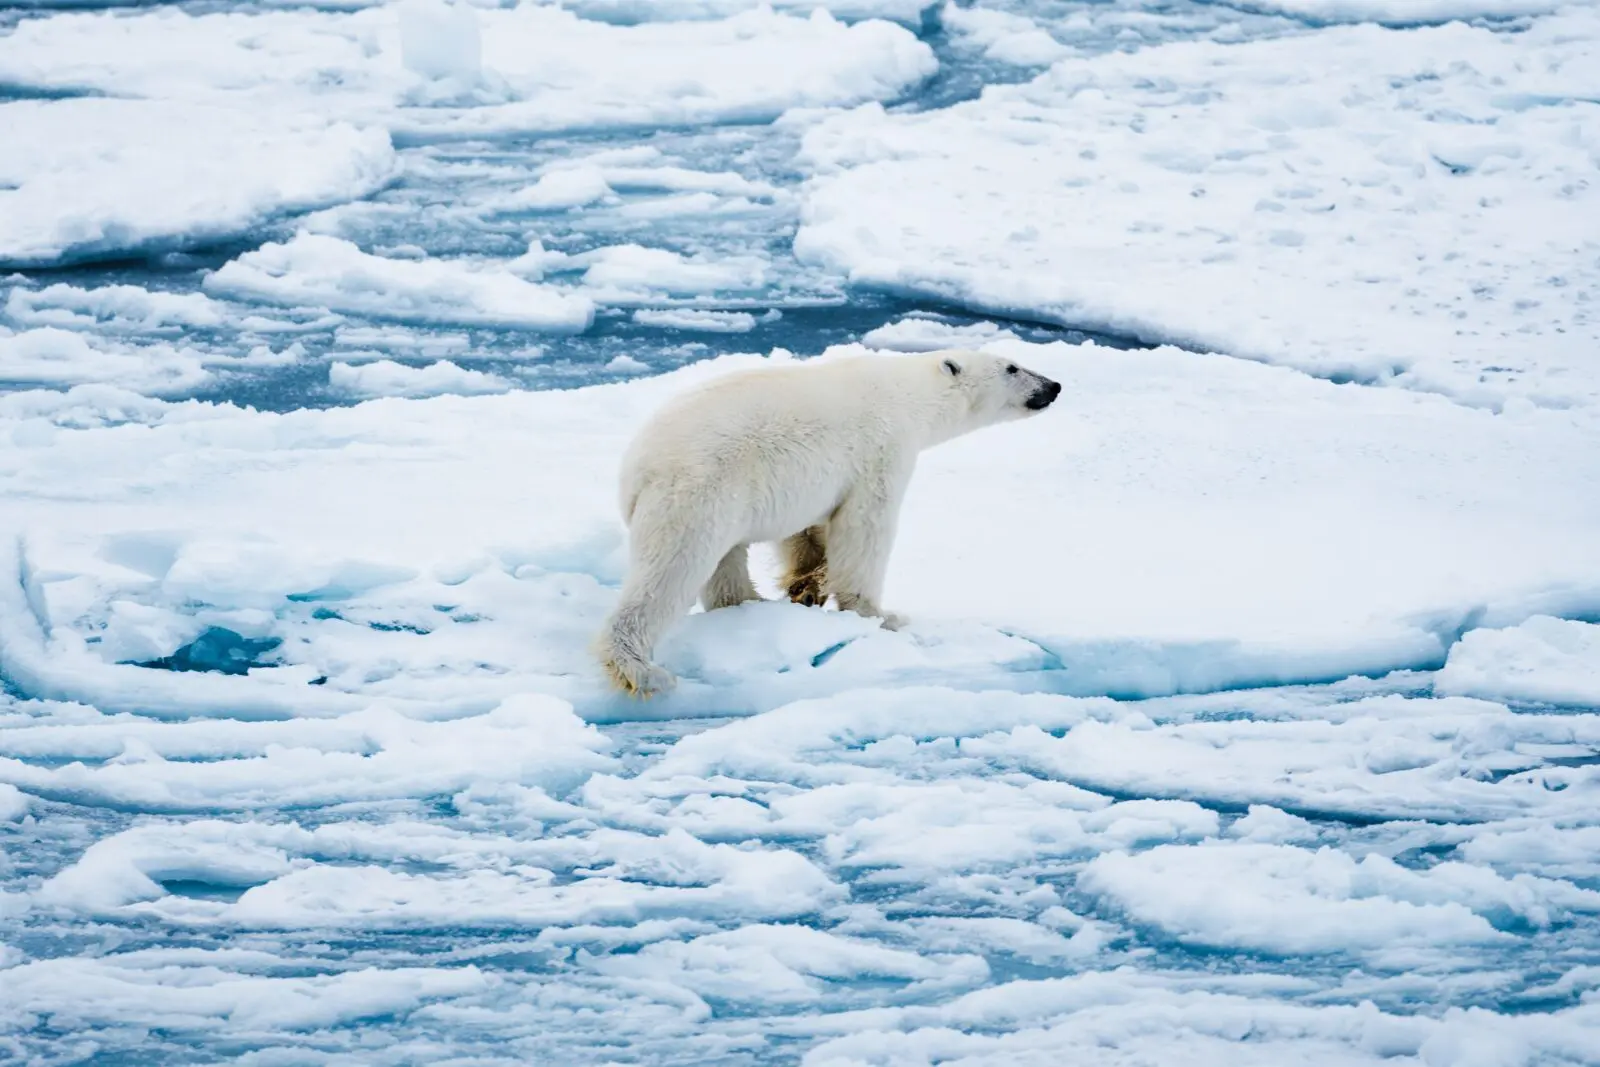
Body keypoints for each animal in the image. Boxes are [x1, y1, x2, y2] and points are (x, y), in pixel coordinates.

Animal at [594, 347, 1062, 696]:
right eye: (1012, 367)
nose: (1053, 386)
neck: (910, 395)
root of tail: (635, 470)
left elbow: (809, 529)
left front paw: (807, 585)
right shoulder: (881, 450)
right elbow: (865, 530)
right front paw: (882, 615)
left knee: (725, 563)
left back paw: (751, 603)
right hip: (696, 495)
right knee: (670, 573)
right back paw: (641, 669)